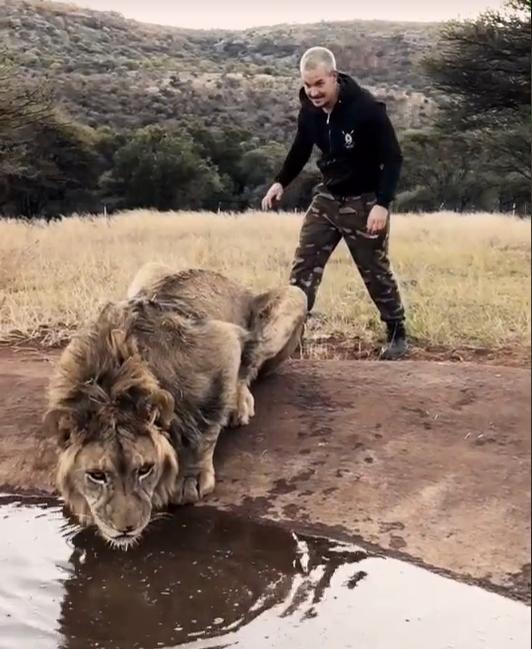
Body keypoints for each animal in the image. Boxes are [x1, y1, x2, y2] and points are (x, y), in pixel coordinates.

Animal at [43, 262, 307, 549]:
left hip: (296, 296)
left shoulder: (222, 341)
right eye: (97, 475)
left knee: (252, 364)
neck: (112, 382)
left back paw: (240, 405)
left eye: (145, 470)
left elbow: (206, 423)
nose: (125, 529)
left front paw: (191, 478)